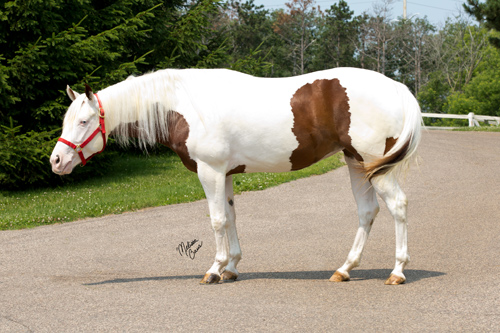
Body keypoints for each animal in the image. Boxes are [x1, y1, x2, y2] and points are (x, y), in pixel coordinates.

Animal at [50, 67, 420, 282]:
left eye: (83, 121)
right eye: (67, 120)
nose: (56, 160)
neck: (185, 104)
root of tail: (396, 86)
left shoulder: (209, 171)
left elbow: (216, 220)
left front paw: (214, 270)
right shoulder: (225, 174)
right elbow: (230, 217)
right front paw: (231, 267)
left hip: (374, 164)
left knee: (399, 206)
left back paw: (397, 271)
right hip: (356, 163)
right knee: (367, 212)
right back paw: (344, 269)